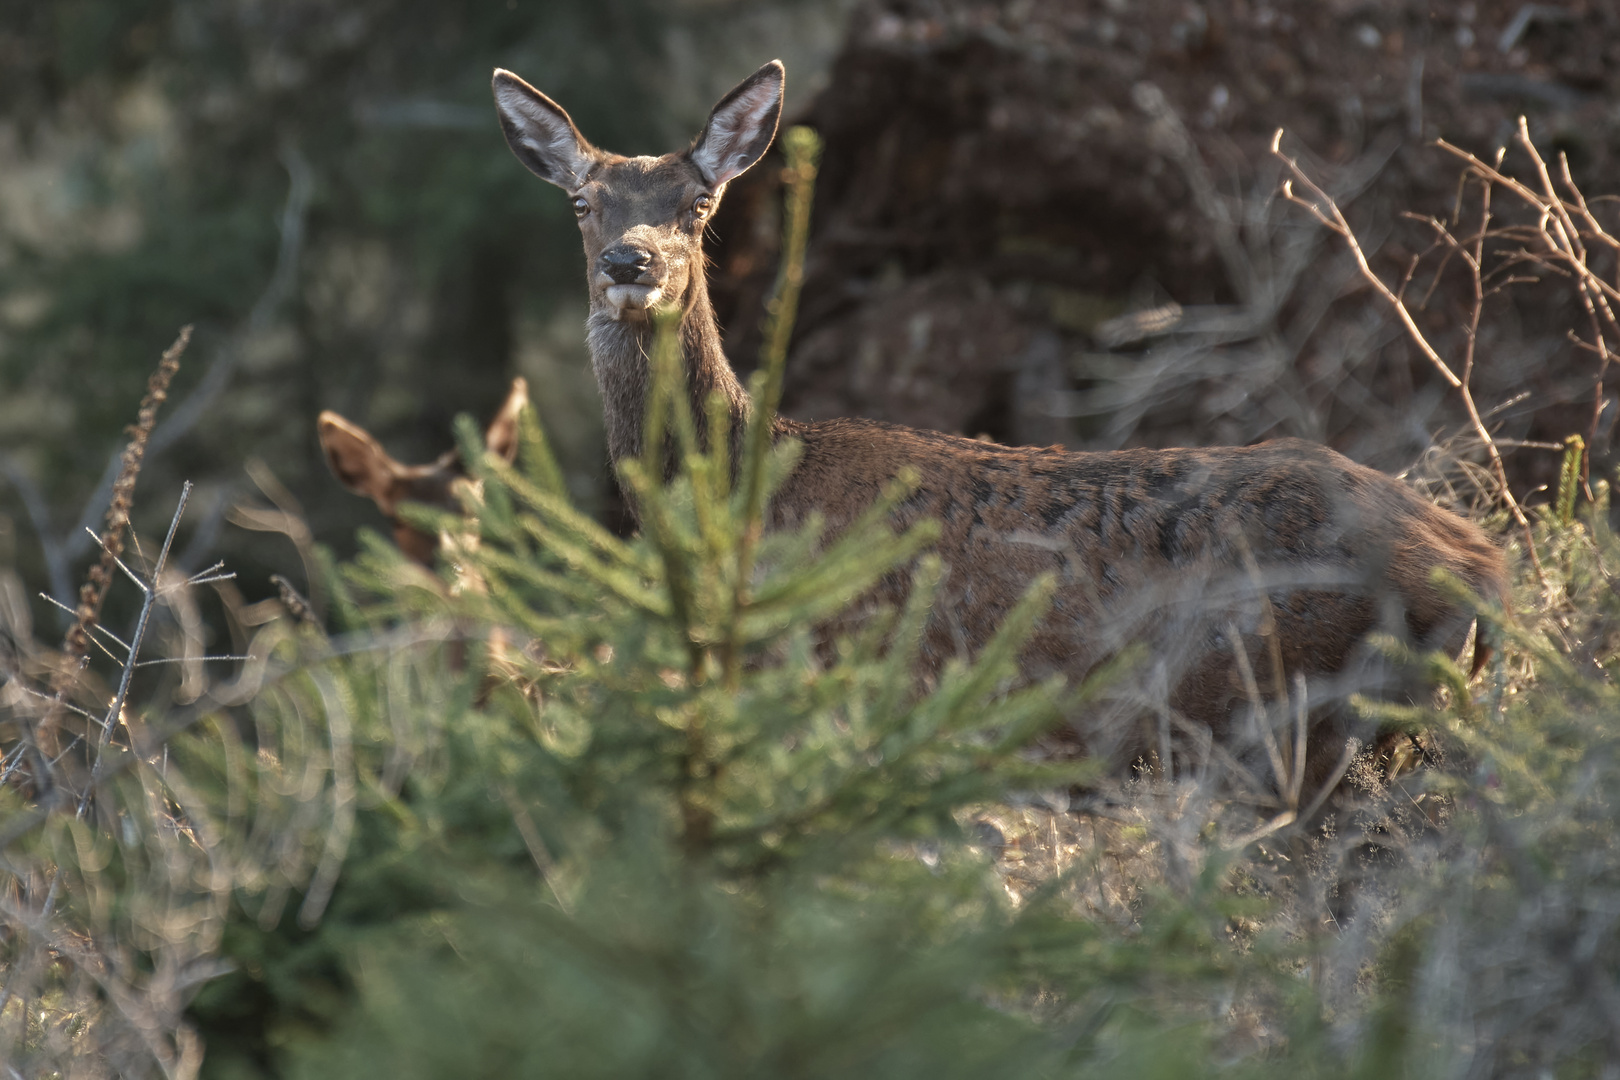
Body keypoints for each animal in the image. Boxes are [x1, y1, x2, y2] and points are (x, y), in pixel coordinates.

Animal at [489, 59, 1503, 803]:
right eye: (584, 204)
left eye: (698, 206)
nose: (632, 263)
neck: (751, 497)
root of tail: (1485, 562)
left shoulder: (858, 693)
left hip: (1307, 722)